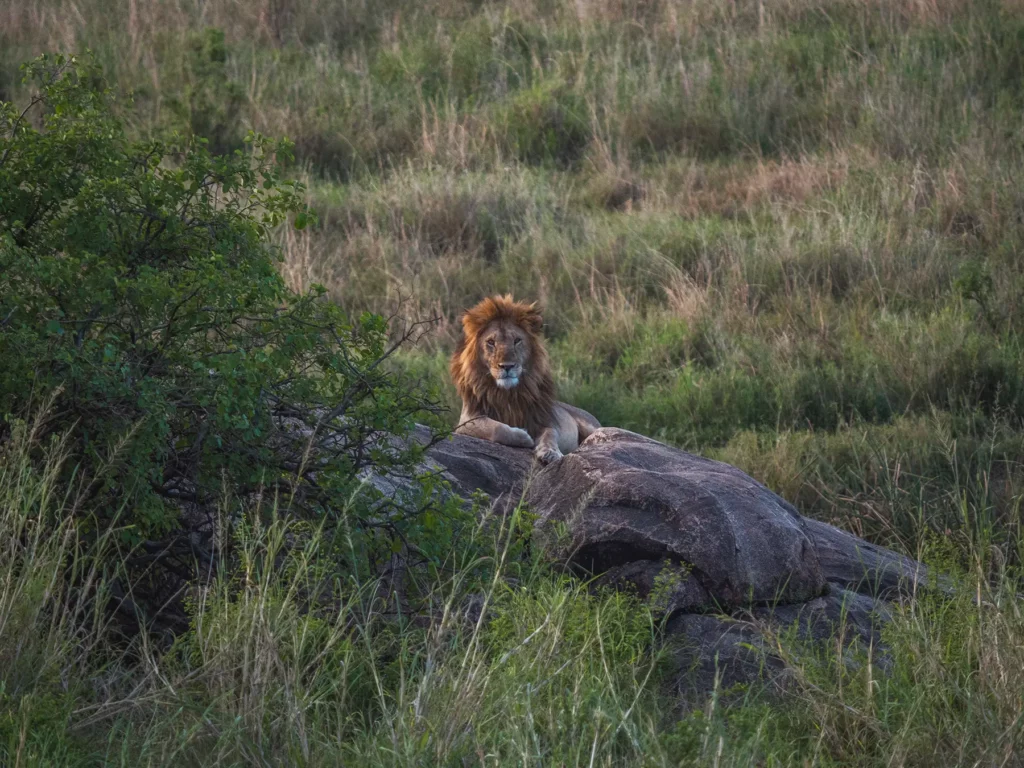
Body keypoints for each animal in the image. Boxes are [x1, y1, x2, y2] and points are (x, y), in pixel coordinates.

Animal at [450, 295, 601, 464]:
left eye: (517, 340)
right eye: (491, 342)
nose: (507, 366)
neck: (507, 394)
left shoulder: (542, 420)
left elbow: (550, 433)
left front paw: (550, 452)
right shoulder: (466, 421)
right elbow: (497, 428)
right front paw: (523, 436)